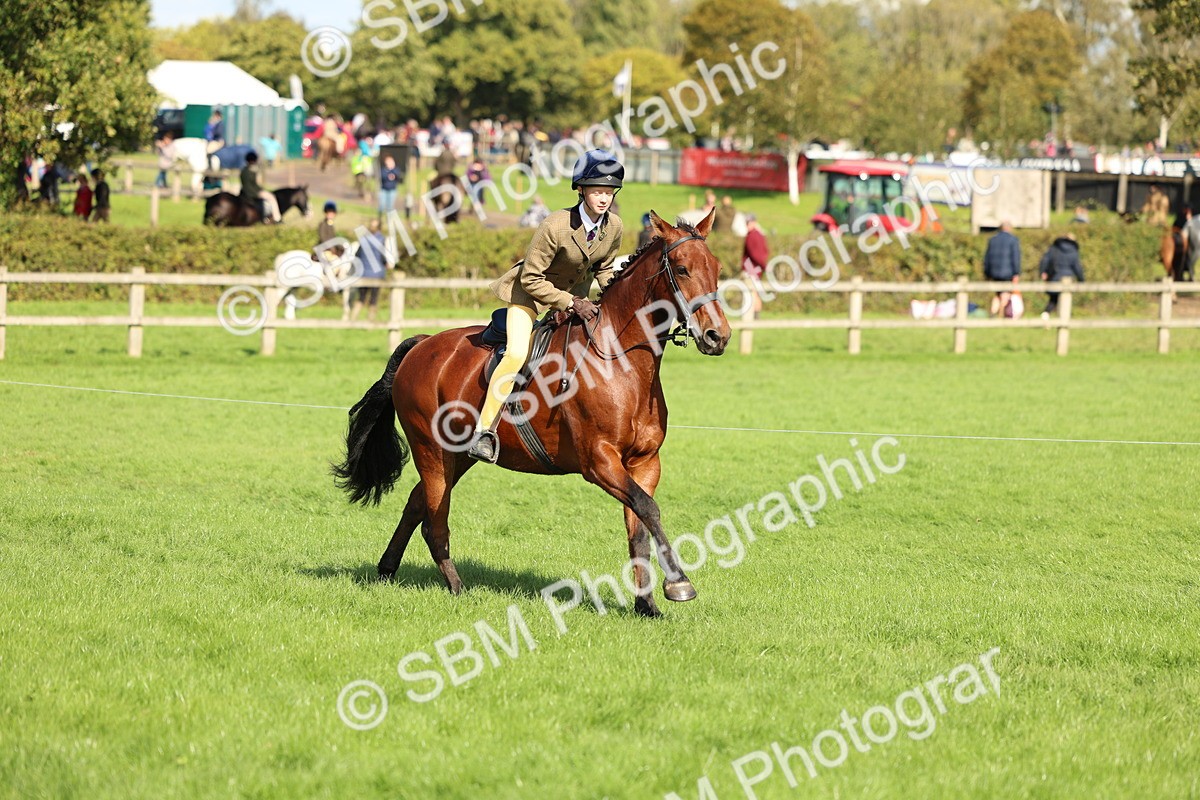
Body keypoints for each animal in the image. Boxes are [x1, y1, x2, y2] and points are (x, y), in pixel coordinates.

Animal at [332, 210, 732, 617]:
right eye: (682, 269)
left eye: (716, 268)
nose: (718, 336)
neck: (621, 359)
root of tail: (421, 344)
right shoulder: (599, 462)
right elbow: (649, 510)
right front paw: (679, 585)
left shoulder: (644, 463)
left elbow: (639, 528)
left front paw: (646, 605)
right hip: (431, 450)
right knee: (434, 522)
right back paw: (458, 588)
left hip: (457, 456)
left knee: (417, 505)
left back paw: (386, 570)